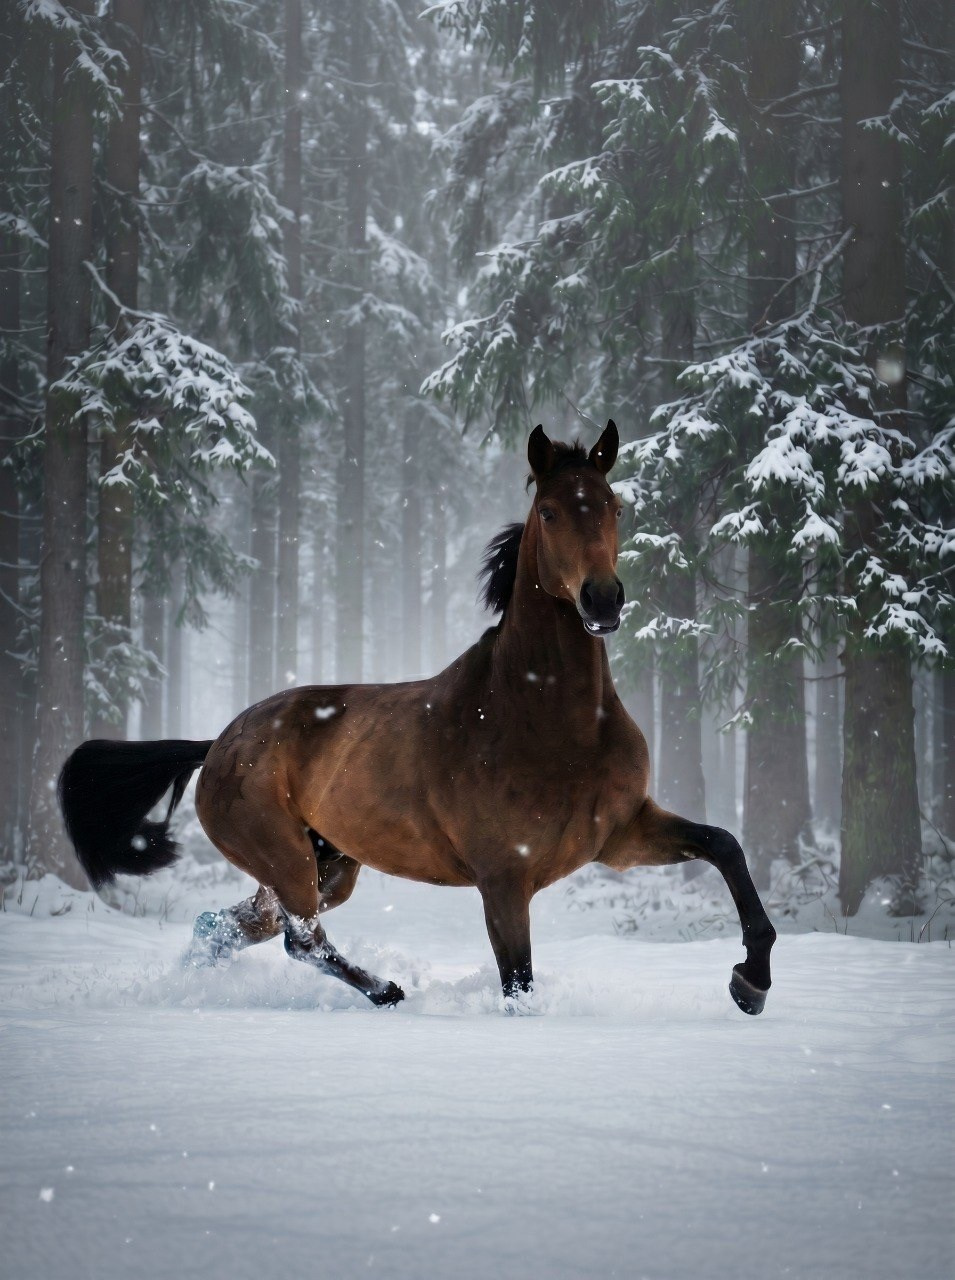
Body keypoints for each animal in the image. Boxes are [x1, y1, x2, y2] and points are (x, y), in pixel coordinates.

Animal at [59, 421, 776, 1015]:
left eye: (614, 506)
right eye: (548, 511)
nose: (602, 600)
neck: (552, 721)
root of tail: (218, 744)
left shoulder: (620, 835)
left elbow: (724, 845)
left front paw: (751, 982)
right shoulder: (503, 880)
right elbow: (518, 984)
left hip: (325, 868)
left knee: (231, 927)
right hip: (285, 859)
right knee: (299, 939)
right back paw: (385, 990)